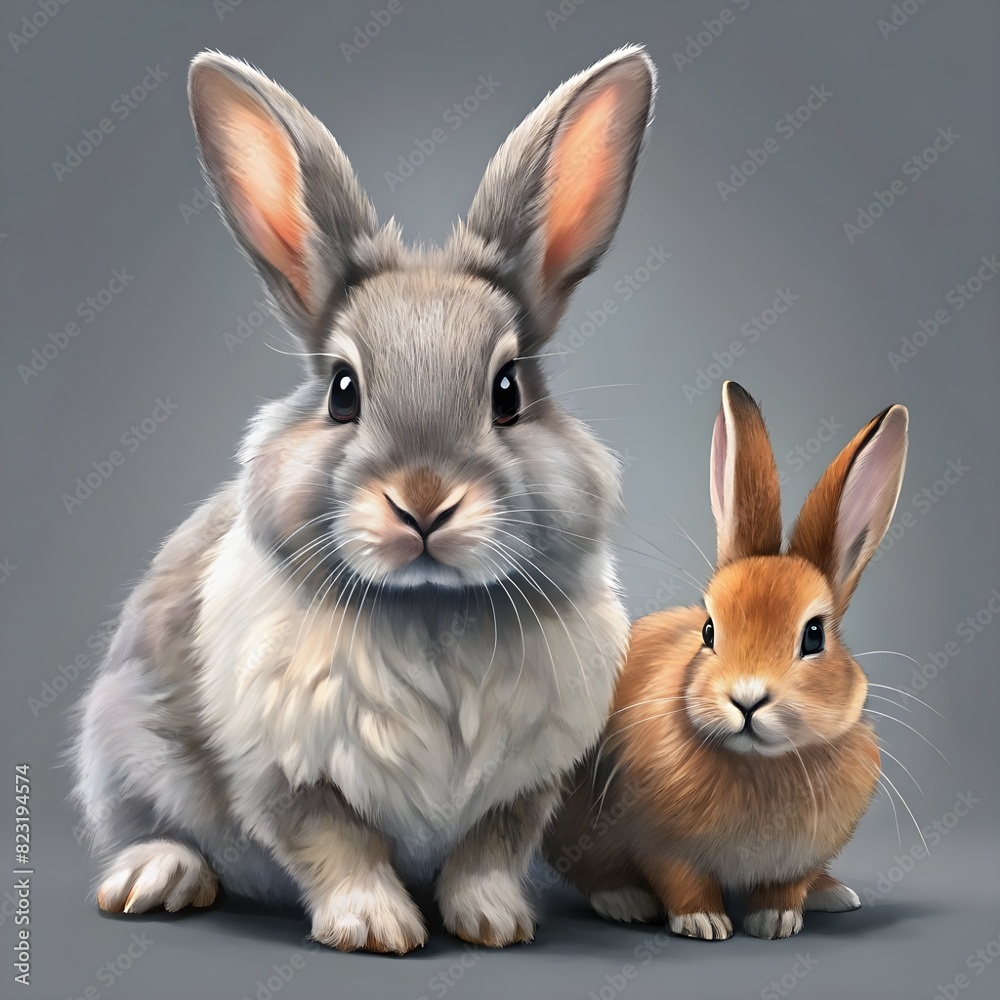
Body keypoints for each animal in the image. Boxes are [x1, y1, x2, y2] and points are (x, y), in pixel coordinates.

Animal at [71, 46, 657, 953]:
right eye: (343, 390)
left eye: (509, 391)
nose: (423, 504)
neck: (429, 610)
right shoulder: (285, 773)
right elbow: (336, 843)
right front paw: (376, 927)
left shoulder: (526, 785)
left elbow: (489, 849)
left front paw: (496, 922)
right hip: (120, 742)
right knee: (146, 824)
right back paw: (154, 877)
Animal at [545, 380, 909, 941]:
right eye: (709, 630)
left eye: (814, 635)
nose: (747, 699)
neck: (757, 762)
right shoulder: (662, 845)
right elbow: (681, 881)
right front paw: (704, 923)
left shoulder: (798, 857)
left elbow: (787, 886)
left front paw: (775, 921)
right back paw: (624, 901)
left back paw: (834, 894)